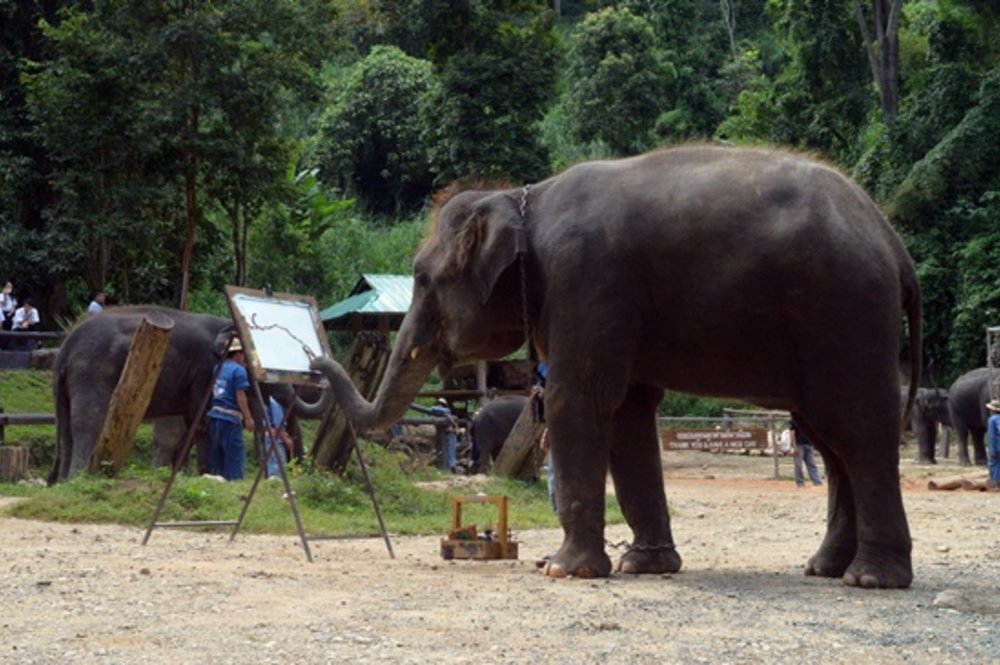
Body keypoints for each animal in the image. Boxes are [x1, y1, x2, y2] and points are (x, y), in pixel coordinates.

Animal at [50, 304, 326, 482]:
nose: (314, 361)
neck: (226, 324)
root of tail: (65, 347)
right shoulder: (205, 368)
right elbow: (202, 421)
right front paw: (209, 474)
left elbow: (191, 425)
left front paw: (176, 477)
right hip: (93, 370)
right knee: (89, 420)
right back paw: (78, 478)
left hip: (69, 381)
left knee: (65, 426)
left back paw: (63, 483)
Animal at [306, 145, 920, 588]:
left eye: (422, 278)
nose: (314, 359)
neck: (524, 196)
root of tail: (892, 237)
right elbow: (627, 412)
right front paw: (642, 567)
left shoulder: (587, 281)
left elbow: (576, 400)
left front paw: (562, 569)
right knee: (829, 438)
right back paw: (825, 569)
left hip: (844, 314)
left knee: (856, 428)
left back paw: (871, 580)